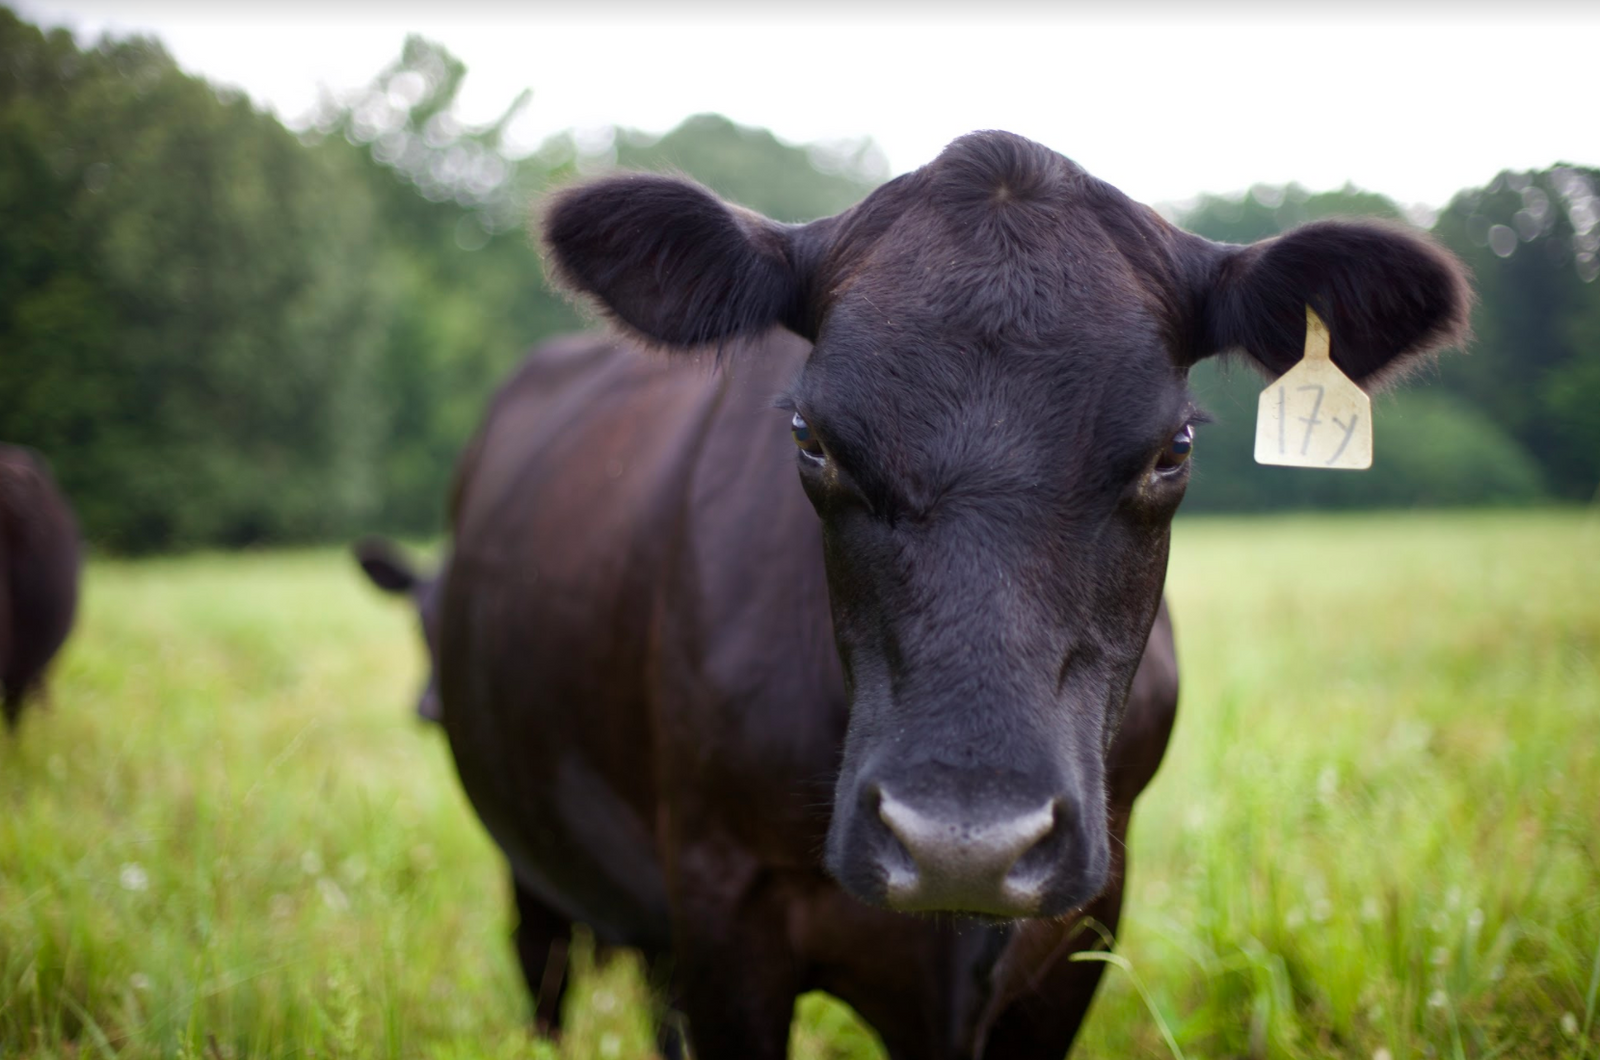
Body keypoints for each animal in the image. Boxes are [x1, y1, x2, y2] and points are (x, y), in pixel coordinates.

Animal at [441, 128, 1472, 1056]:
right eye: (810, 438)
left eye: (1173, 449)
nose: (963, 843)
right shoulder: (721, 903)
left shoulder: (1083, 922)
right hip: (533, 871)